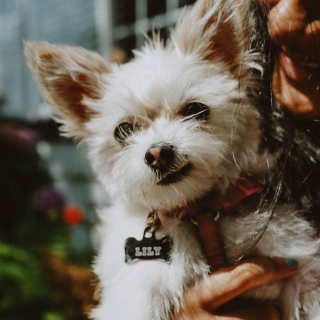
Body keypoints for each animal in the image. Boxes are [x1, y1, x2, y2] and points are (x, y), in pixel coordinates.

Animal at [24, 0, 320, 318]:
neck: (201, 213)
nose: (158, 154)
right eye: (123, 130)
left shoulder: (300, 267)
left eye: (195, 109)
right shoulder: (141, 283)